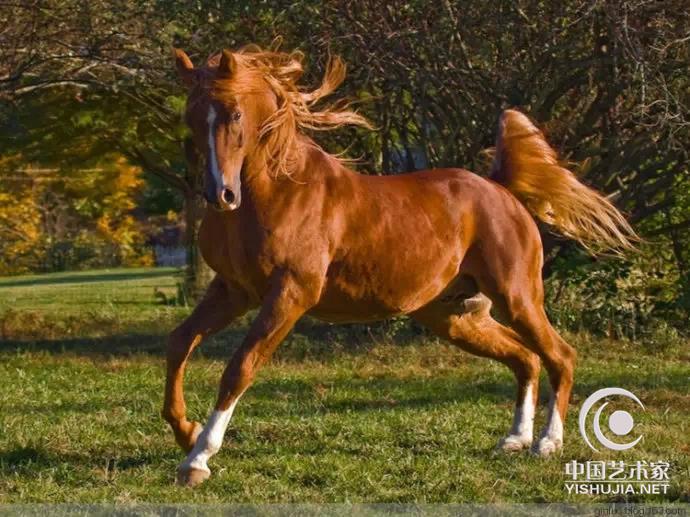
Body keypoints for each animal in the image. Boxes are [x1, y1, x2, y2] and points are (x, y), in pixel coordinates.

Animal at [164, 44, 632, 484]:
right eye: (191, 118)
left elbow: (239, 368)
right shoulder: (233, 291)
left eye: (234, 113)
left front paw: (198, 459)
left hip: (516, 299)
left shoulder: (290, 294)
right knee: (526, 360)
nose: (220, 195)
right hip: (456, 318)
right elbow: (180, 341)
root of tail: (502, 191)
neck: (278, 191)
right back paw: (514, 439)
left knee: (560, 356)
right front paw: (186, 433)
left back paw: (547, 443)